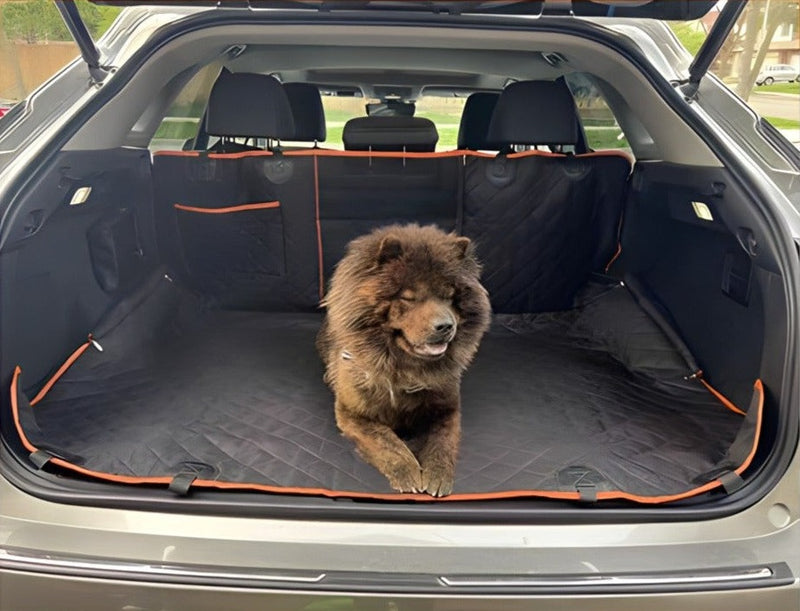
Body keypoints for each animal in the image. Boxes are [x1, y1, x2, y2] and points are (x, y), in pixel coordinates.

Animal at [316, 225, 490, 498]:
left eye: (449, 296)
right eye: (409, 298)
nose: (445, 326)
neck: (404, 368)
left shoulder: (447, 407)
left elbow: (442, 440)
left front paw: (438, 474)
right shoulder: (353, 413)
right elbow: (386, 441)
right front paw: (407, 472)